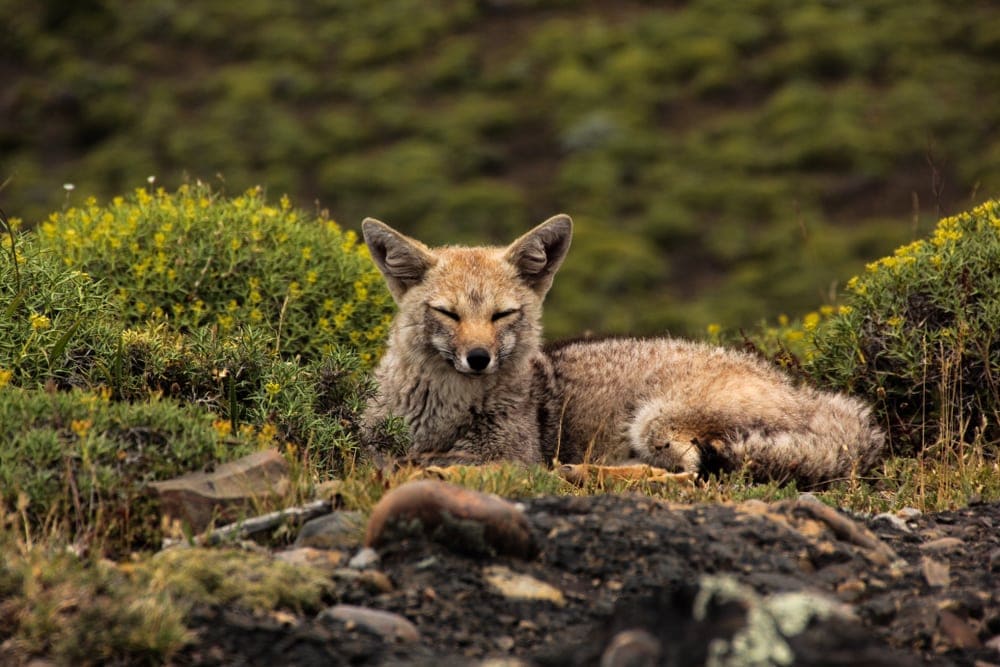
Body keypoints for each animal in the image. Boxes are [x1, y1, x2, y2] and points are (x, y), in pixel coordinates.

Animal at [359, 215, 885, 487]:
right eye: (448, 313)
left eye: (501, 315)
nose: (478, 358)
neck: (444, 412)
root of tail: (808, 396)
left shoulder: (515, 457)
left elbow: (470, 466)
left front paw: (435, 468)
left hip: (656, 420)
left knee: (688, 476)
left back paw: (582, 472)